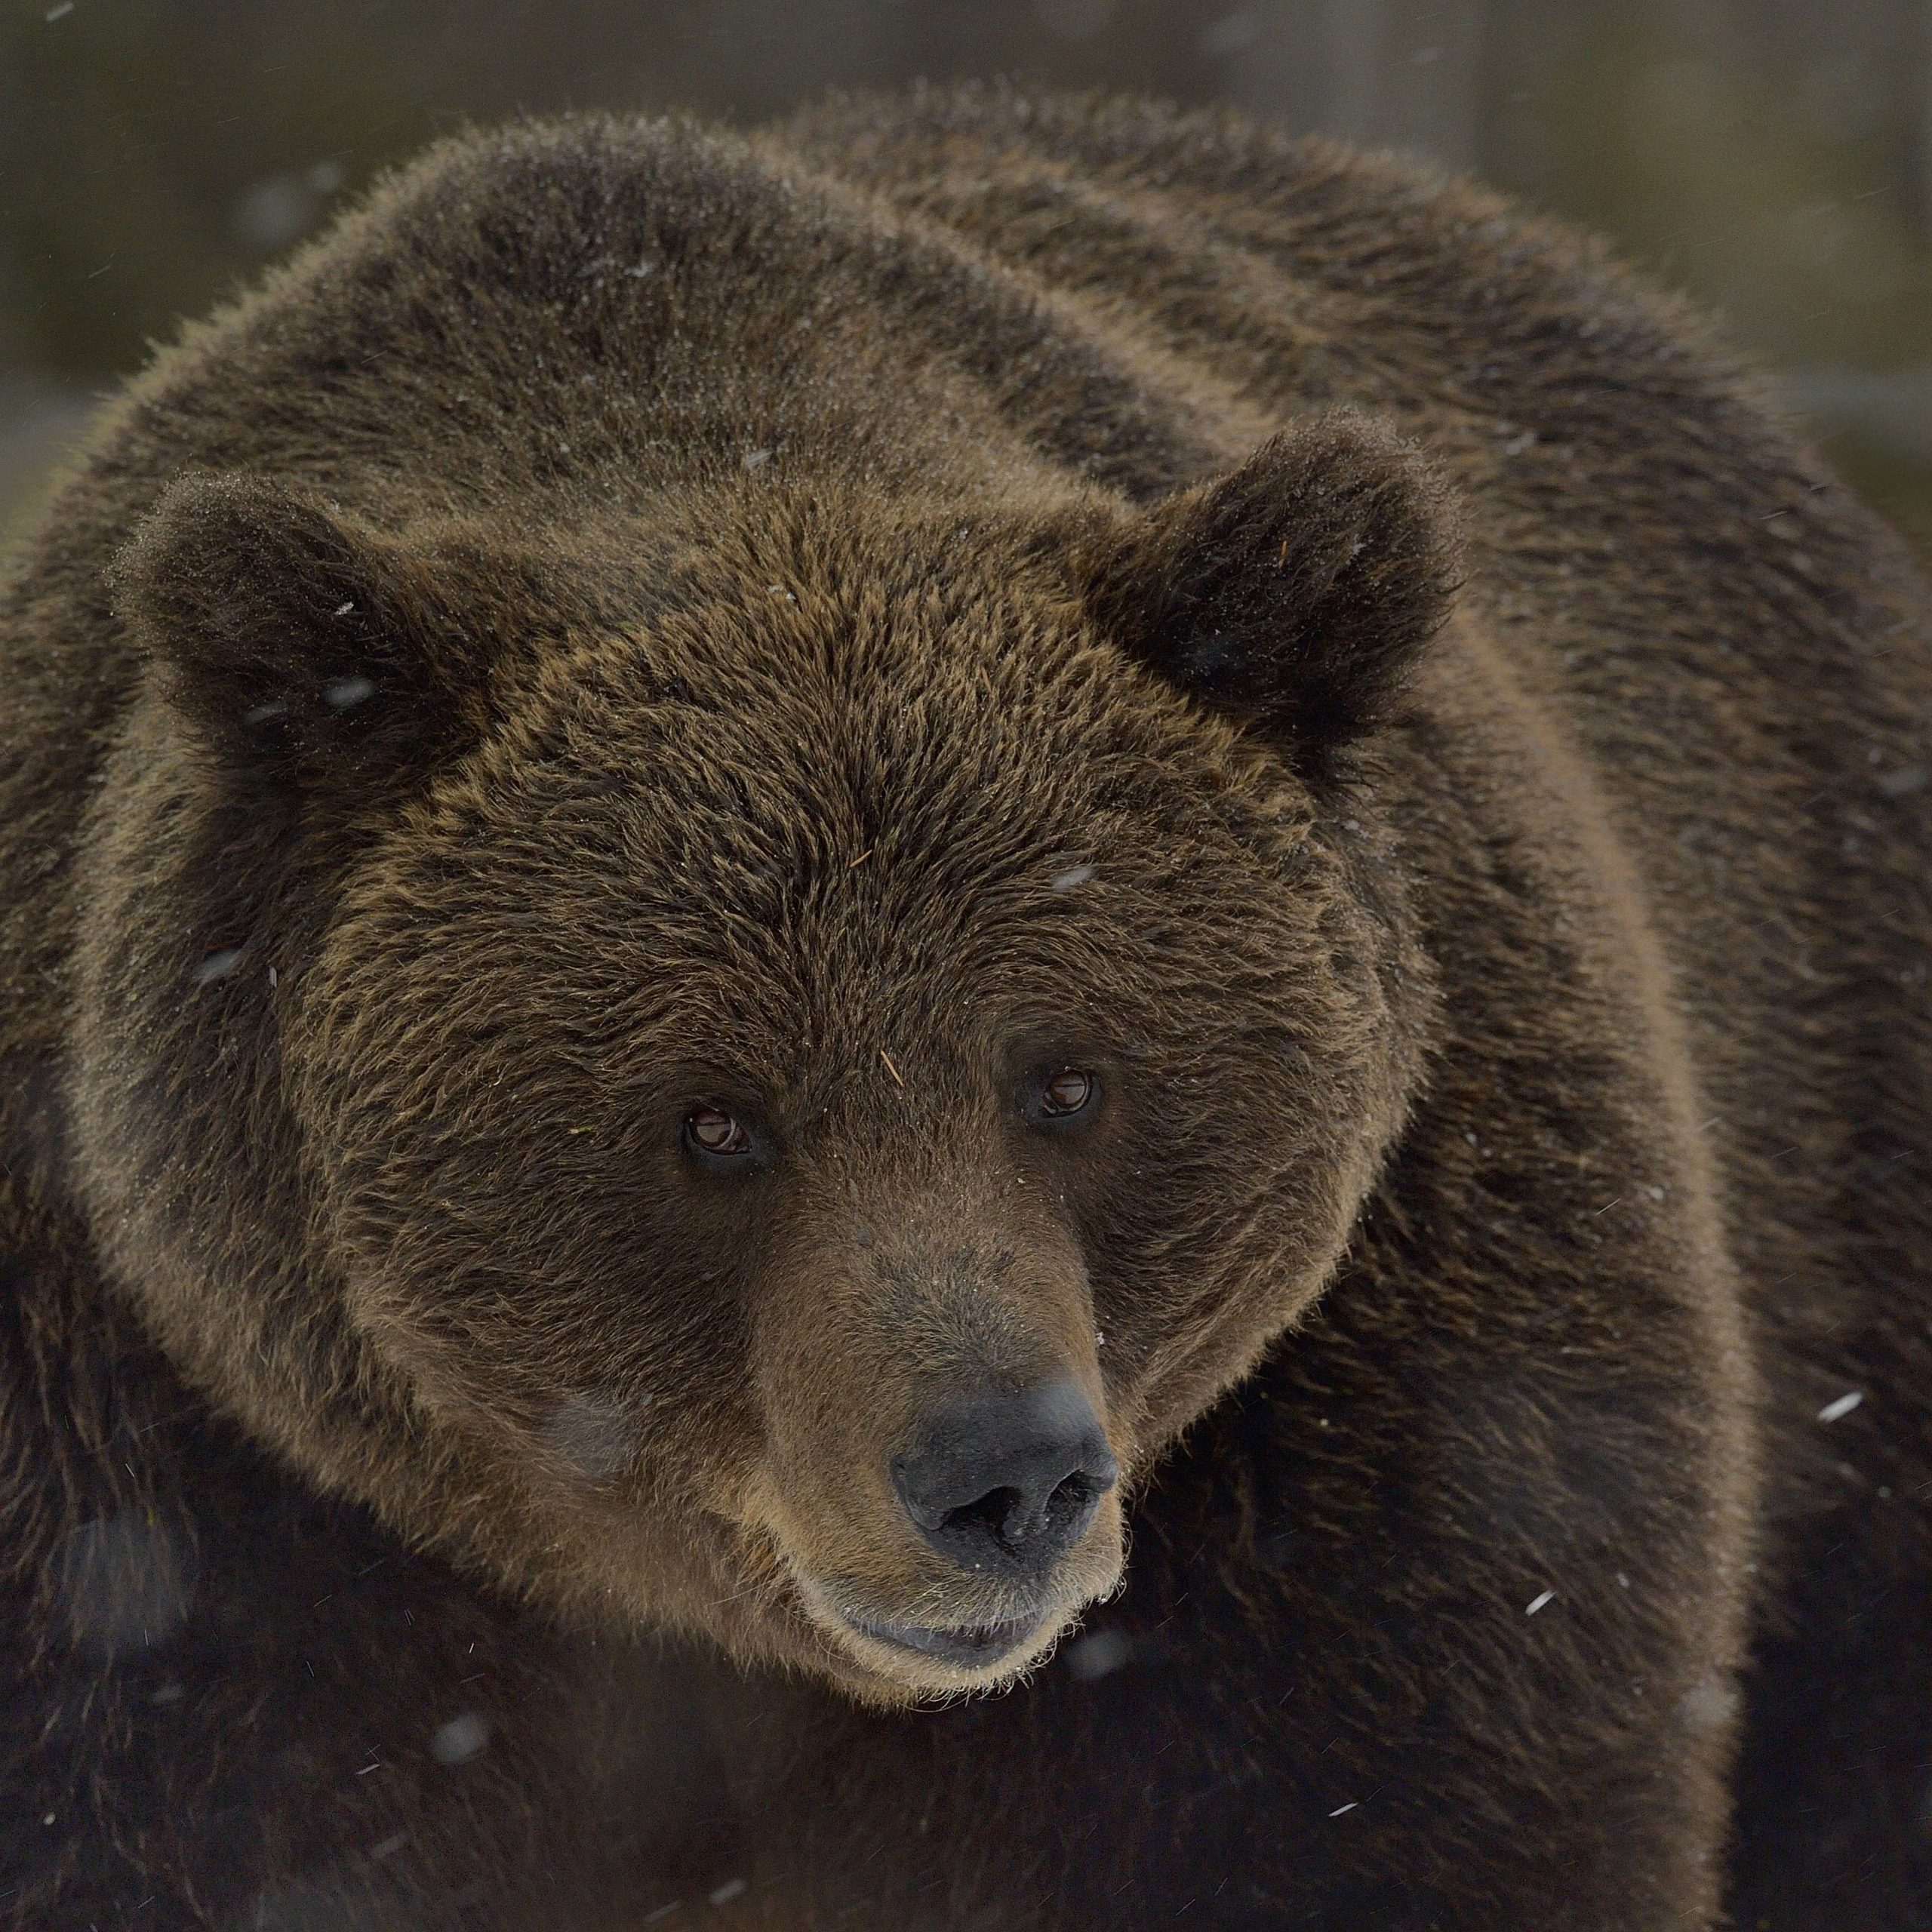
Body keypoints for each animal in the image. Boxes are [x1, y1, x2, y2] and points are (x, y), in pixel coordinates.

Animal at [4, 78, 1932, 1932]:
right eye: (713, 1116)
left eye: (1065, 1077)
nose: (1005, 1477)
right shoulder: (177, 1485)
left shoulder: (1377, 1433)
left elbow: (1381, 1804)